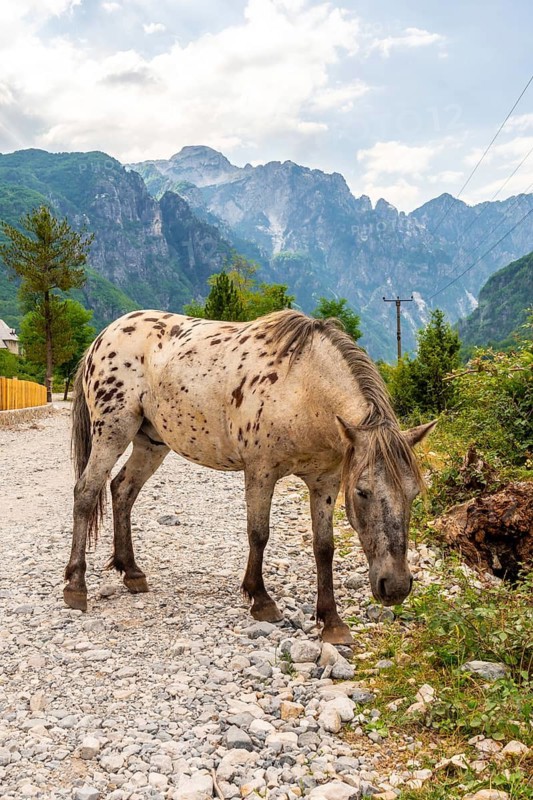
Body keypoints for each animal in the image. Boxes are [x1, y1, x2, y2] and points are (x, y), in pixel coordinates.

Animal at [64, 309, 436, 644]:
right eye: (362, 492)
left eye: (413, 493)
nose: (396, 586)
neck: (302, 388)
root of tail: (104, 335)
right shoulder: (261, 472)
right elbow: (258, 534)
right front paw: (261, 599)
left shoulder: (325, 482)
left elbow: (324, 547)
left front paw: (331, 621)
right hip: (112, 432)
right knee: (86, 492)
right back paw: (76, 586)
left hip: (151, 441)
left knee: (122, 490)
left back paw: (131, 572)